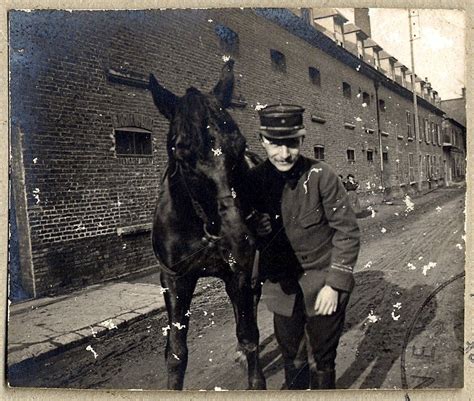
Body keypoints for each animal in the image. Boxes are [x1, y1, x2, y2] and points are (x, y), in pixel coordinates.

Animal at [149, 61, 266, 390]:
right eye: (180, 152)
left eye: (239, 146)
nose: (238, 239)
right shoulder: (175, 278)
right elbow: (176, 352)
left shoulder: (241, 268)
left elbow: (250, 334)